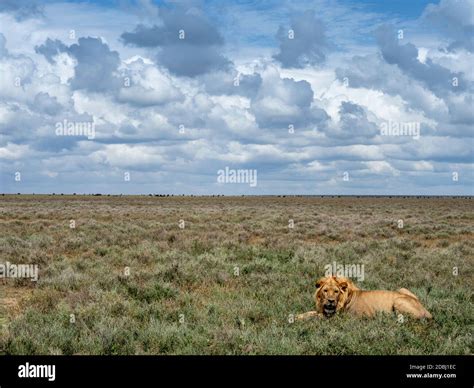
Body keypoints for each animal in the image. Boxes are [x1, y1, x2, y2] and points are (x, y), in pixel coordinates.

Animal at [296, 276, 434, 322]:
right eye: (325, 291)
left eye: (336, 291)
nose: (330, 301)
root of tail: (427, 311)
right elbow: (310, 313)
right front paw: (297, 316)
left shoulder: (340, 317)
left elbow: (316, 316)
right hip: (402, 288)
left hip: (398, 300)